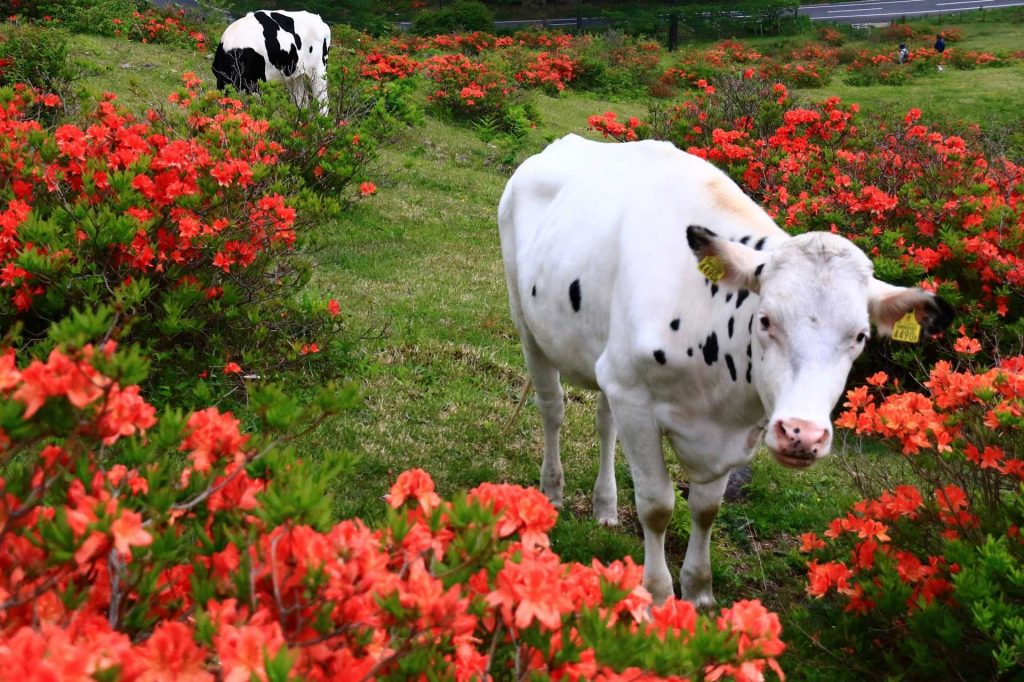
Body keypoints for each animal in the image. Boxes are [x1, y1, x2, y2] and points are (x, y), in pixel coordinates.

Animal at [495, 133, 950, 606]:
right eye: (765, 320)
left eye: (860, 336)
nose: (802, 434)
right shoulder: (635, 399)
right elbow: (657, 506)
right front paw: (659, 594)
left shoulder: (725, 425)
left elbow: (706, 507)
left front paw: (698, 590)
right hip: (526, 323)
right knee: (553, 409)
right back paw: (552, 491)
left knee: (604, 423)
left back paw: (605, 506)